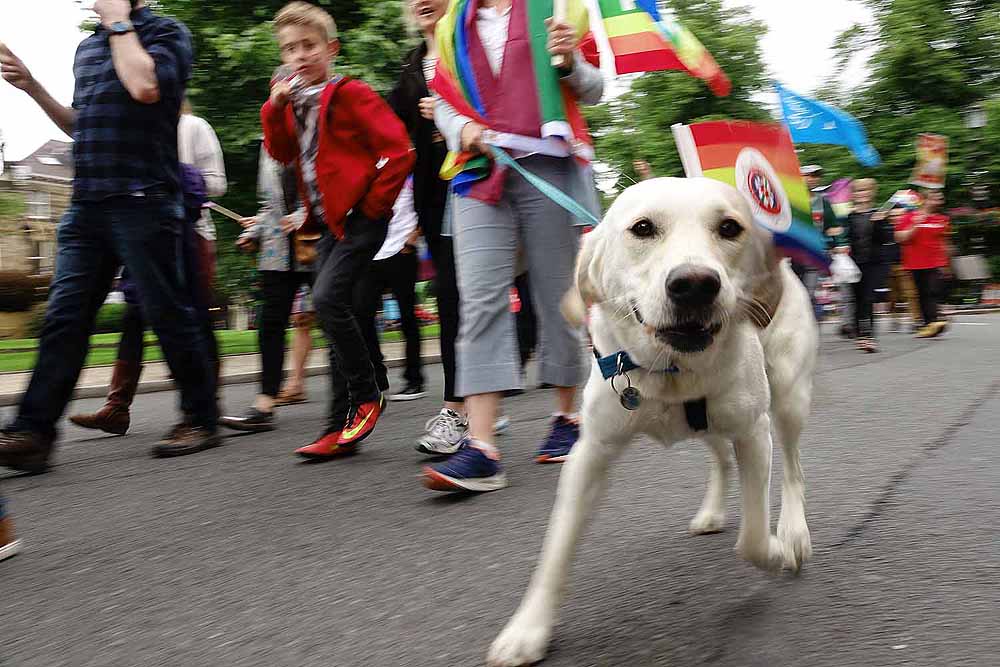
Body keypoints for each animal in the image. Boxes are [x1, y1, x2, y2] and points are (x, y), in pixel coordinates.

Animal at [486, 177, 820, 667]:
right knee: (721, 459)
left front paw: (776, 550)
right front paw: (527, 630)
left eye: (729, 227)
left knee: (795, 470)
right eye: (642, 228)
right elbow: (555, 549)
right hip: (708, 428)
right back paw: (712, 511)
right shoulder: (590, 454)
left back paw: (793, 532)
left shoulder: (754, 432)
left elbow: (754, 537)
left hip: (789, 396)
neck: (670, 371)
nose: (695, 284)